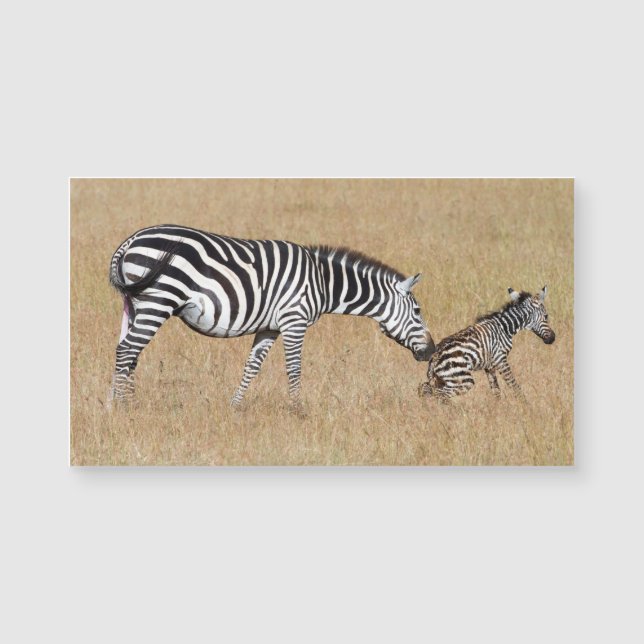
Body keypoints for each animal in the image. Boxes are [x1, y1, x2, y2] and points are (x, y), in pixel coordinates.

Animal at [108, 224, 436, 408]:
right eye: (418, 311)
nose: (431, 351)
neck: (322, 281)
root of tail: (130, 240)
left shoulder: (270, 327)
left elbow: (252, 367)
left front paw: (235, 407)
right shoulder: (294, 321)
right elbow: (294, 368)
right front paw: (298, 411)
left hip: (134, 304)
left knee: (126, 352)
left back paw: (119, 404)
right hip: (159, 300)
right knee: (129, 350)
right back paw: (124, 407)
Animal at [418, 287, 555, 401]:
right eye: (546, 316)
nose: (553, 338)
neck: (504, 328)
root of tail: (435, 357)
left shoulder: (490, 365)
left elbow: (496, 390)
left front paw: (497, 408)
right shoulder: (501, 359)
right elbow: (513, 384)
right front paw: (524, 405)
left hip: (444, 379)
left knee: (425, 389)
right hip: (462, 379)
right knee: (438, 394)